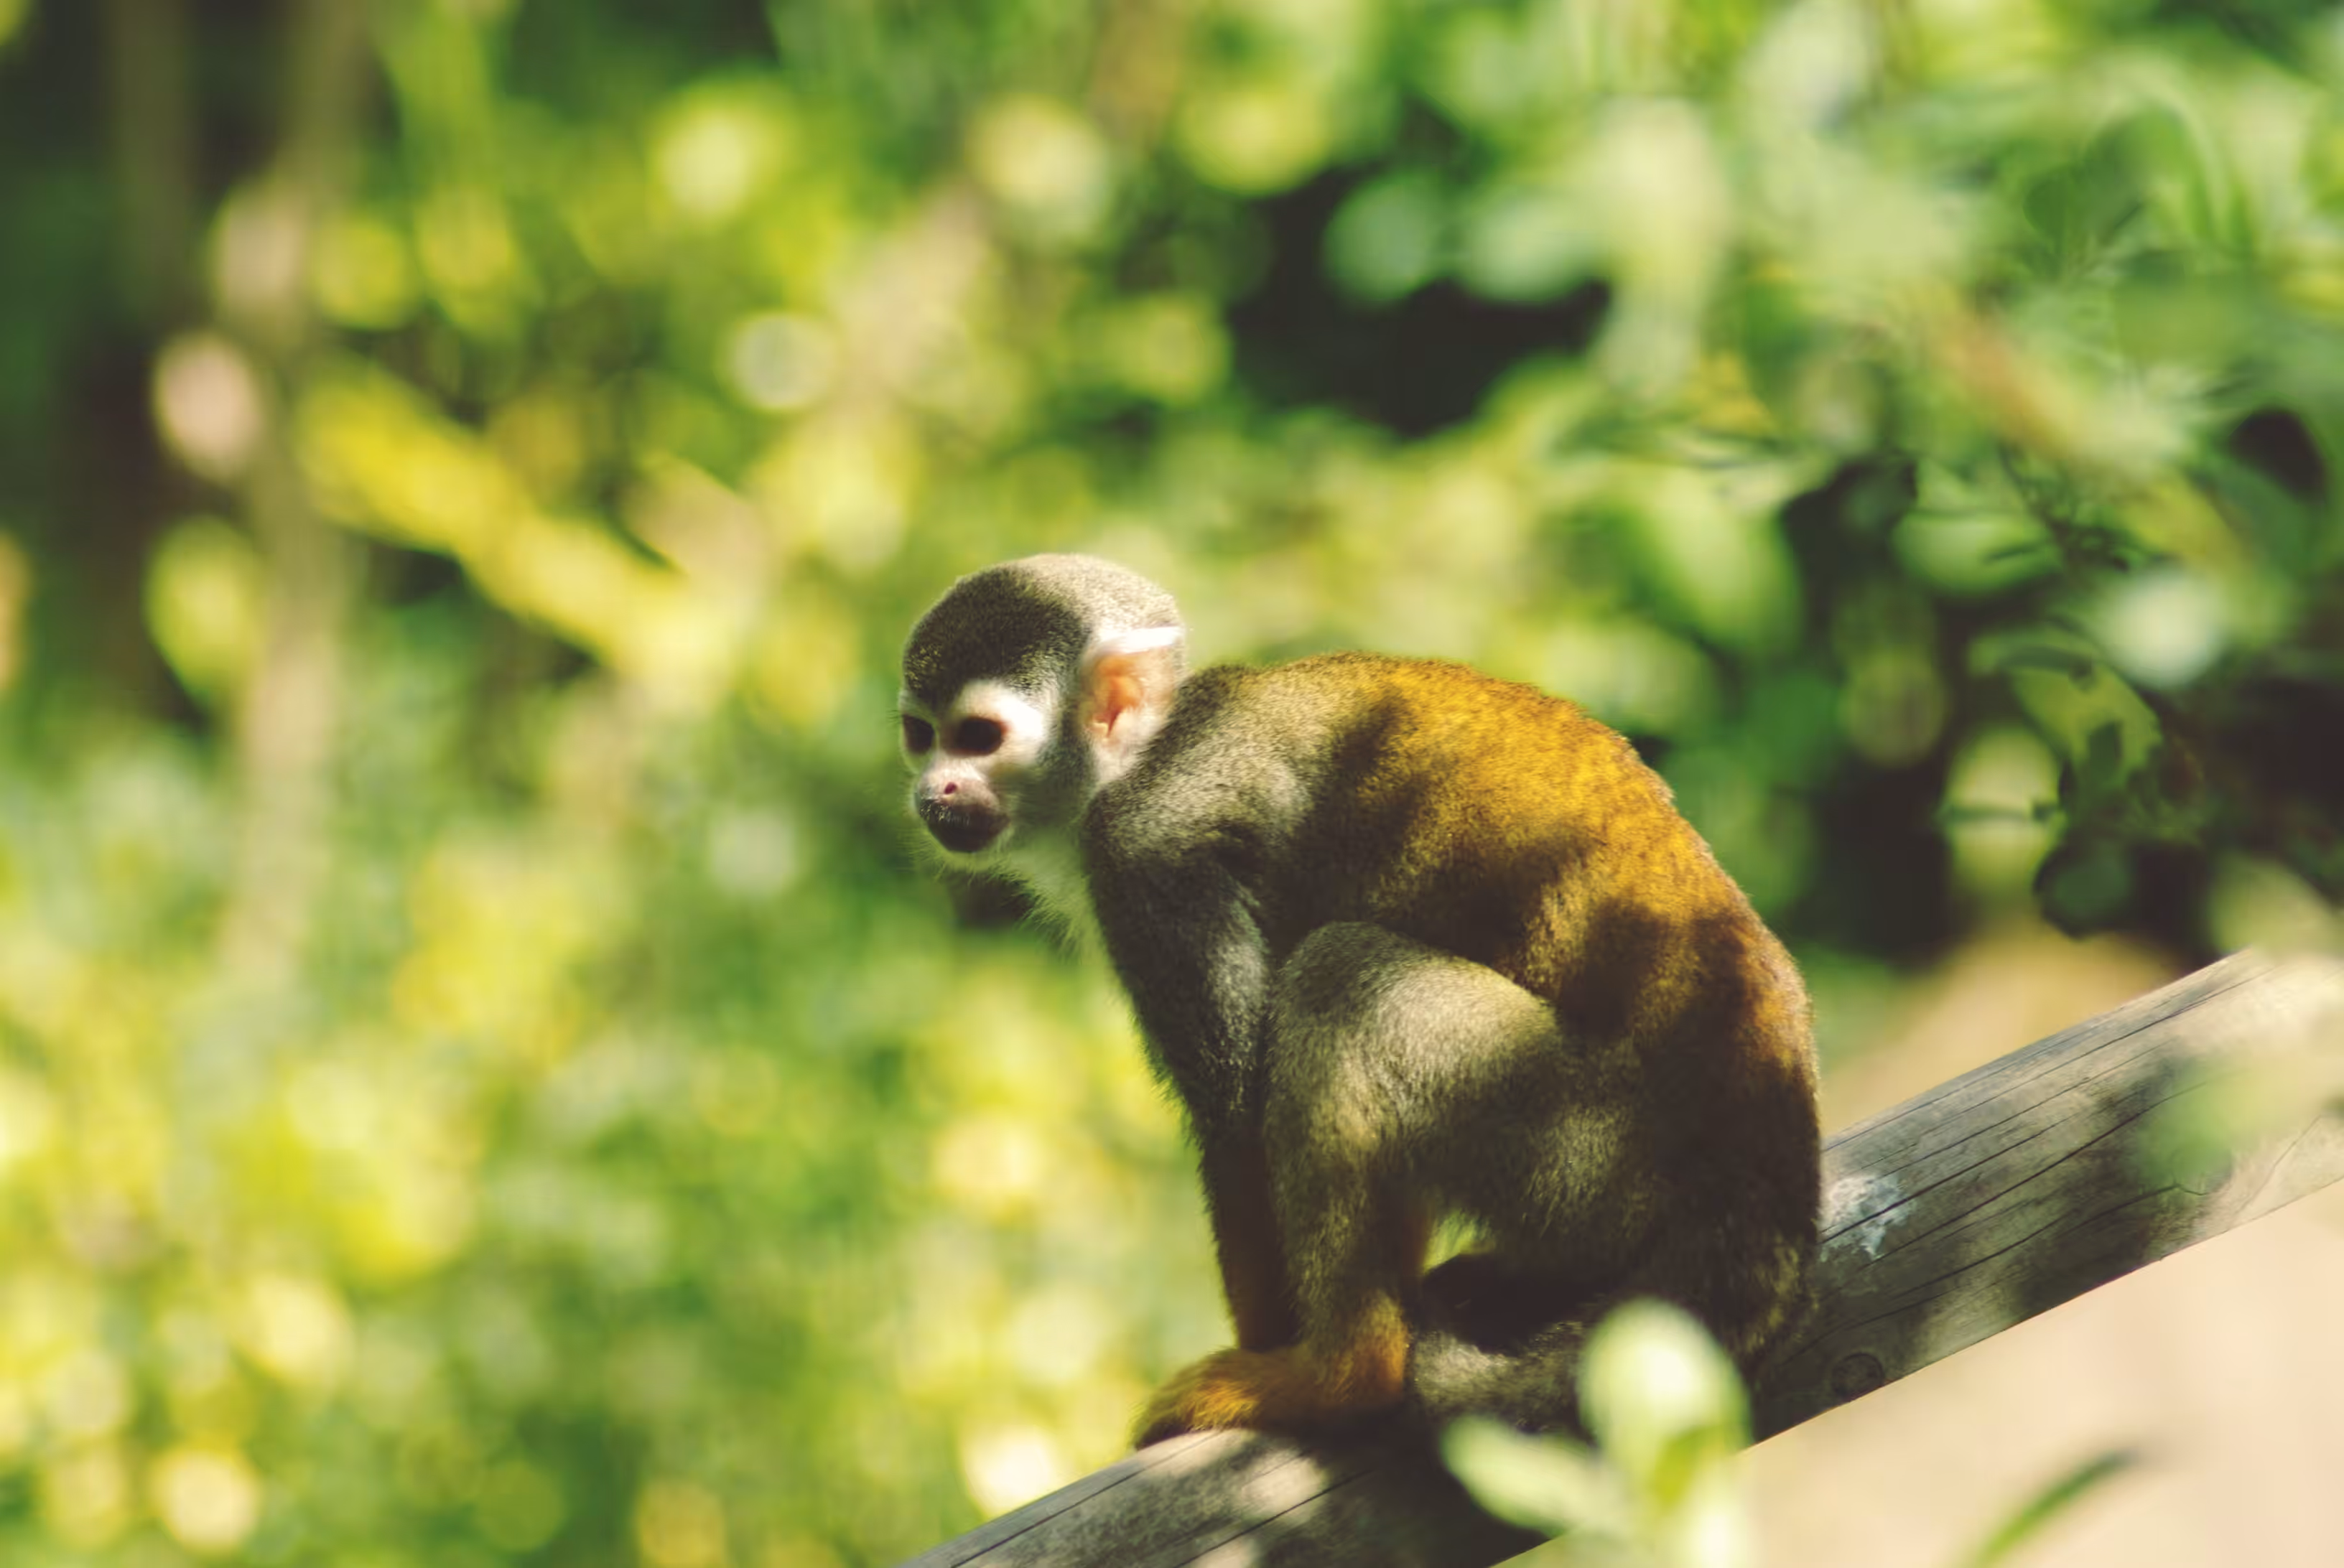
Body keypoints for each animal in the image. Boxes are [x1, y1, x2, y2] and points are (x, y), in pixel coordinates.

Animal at [898, 553, 1819, 1443]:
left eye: (979, 737)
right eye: (921, 735)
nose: (932, 791)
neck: (1151, 753)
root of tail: (1770, 1150)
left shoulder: (1145, 849)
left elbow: (1237, 1119)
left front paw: (1271, 1341)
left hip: (1593, 1152)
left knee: (1340, 978)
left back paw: (1341, 1375)